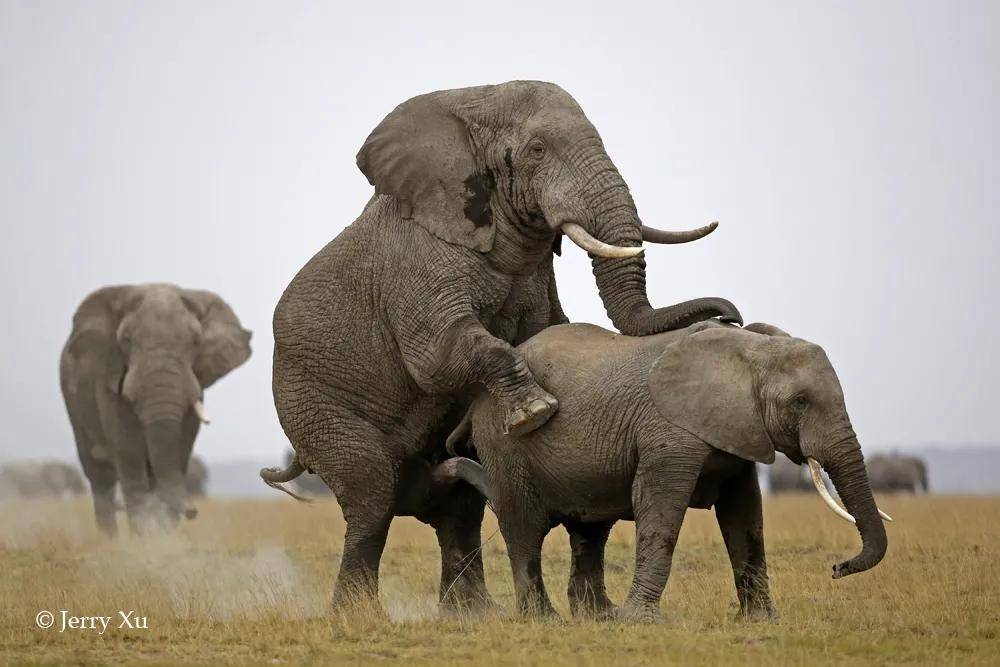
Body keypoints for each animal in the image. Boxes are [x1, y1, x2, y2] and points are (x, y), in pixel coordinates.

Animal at [61, 284, 252, 536]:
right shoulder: (109, 377)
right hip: (72, 402)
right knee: (99, 476)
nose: (192, 511)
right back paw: (109, 541)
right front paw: (145, 542)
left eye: (196, 341)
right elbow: (128, 448)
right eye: (126, 339)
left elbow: (181, 447)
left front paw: (164, 539)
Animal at [262, 79, 740, 612]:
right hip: (309, 402)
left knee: (457, 505)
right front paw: (535, 411)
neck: (473, 99)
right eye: (537, 150)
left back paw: (470, 613)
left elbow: (551, 332)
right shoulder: (414, 261)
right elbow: (436, 356)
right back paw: (361, 615)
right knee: (370, 494)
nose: (730, 314)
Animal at [446, 320, 892, 620]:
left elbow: (744, 514)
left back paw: (600, 618)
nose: (836, 569)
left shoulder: (739, 431)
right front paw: (640, 622)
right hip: (505, 440)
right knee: (523, 527)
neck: (749, 348)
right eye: (799, 401)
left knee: (589, 531)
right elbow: (659, 505)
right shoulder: (667, 431)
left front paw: (762, 621)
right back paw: (546, 620)